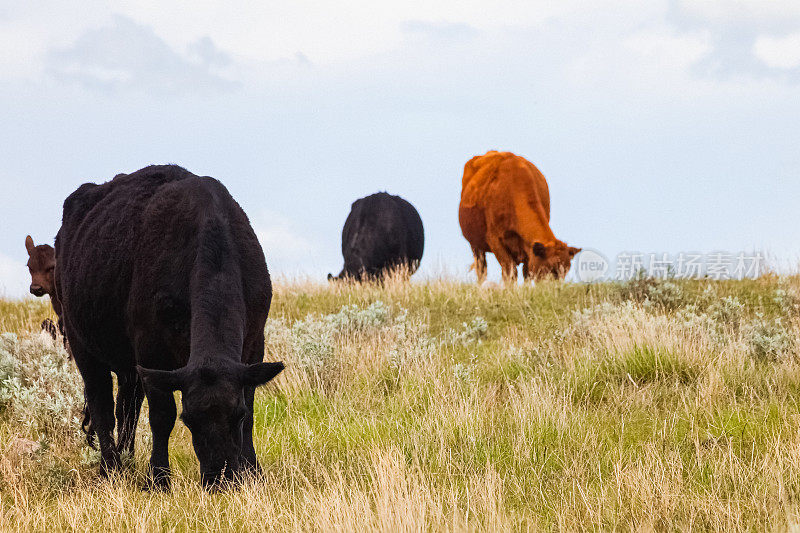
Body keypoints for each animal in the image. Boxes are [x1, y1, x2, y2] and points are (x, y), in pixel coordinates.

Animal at [54, 164, 284, 488]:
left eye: (235, 416)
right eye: (189, 419)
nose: (220, 479)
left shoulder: (254, 344)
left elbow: (251, 408)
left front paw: (252, 472)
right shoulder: (151, 348)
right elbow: (162, 415)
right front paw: (159, 478)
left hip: (128, 367)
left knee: (127, 408)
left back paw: (127, 461)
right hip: (82, 345)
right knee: (103, 409)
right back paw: (110, 469)